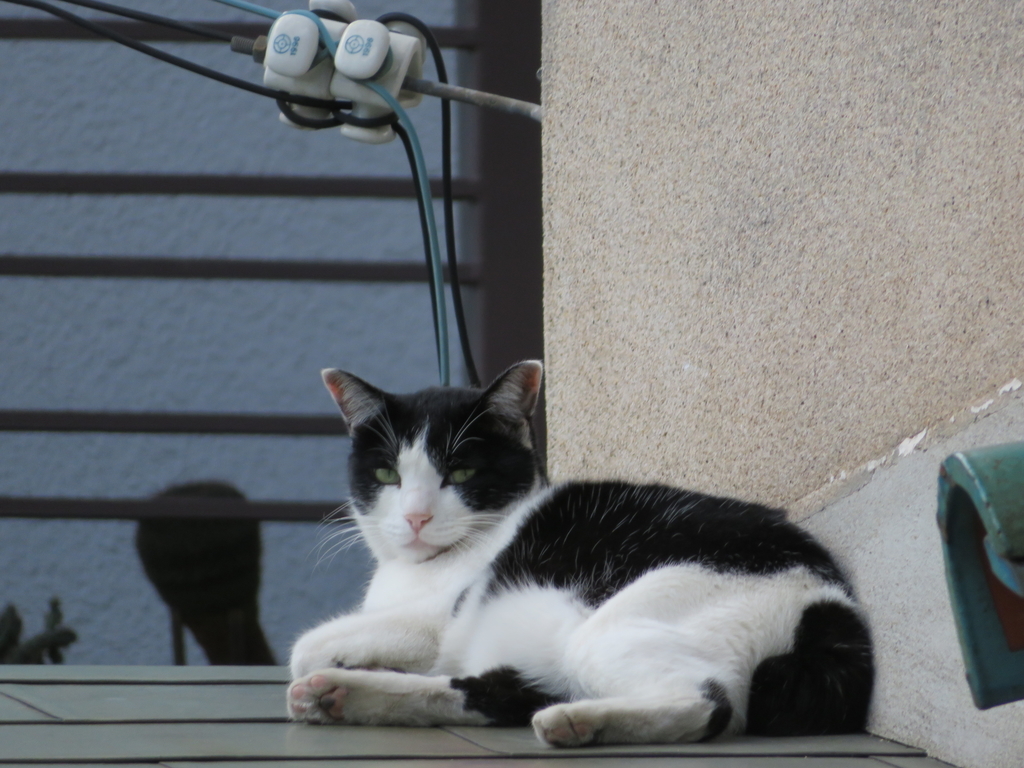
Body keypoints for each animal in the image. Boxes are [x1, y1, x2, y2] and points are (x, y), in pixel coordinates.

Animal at [286, 364, 872, 749]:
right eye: (387, 474)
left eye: (462, 473)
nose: (415, 518)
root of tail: (832, 605)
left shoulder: (437, 619)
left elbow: (306, 646)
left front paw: (334, 654)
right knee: (490, 692)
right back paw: (340, 695)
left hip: (618, 627)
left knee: (708, 704)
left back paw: (579, 722)